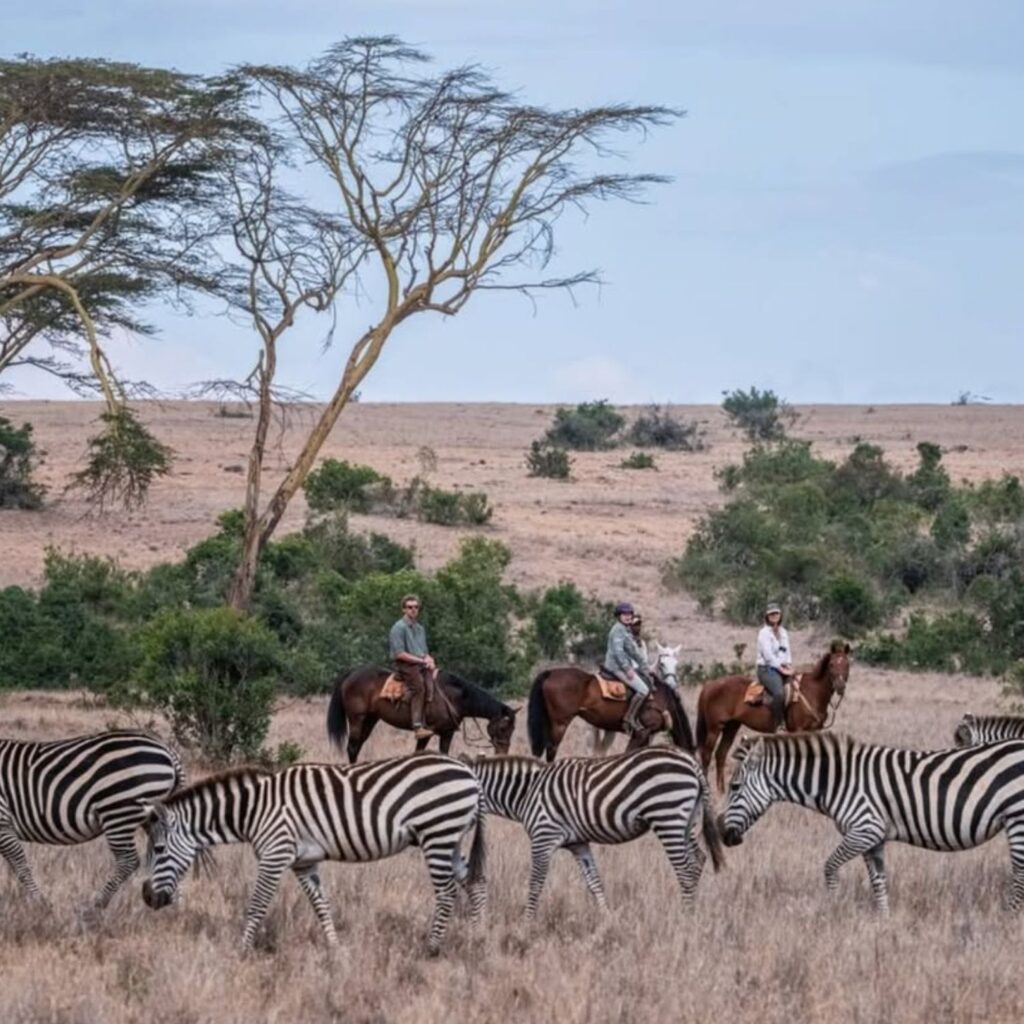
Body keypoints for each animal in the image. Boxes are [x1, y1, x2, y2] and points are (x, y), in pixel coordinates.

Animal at [326, 665, 519, 763]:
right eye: (503, 727)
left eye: (512, 730)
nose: (503, 753)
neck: (453, 696)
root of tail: (350, 673)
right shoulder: (427, 732)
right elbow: (418, 752)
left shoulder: (447, 733)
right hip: (357, 719)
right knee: (352, 747)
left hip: (370, 720)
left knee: (357, 746)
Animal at [527, 659, 695, 762]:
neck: (664, 700)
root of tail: (550, 673)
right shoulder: (642, 733)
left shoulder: (647, 735)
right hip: (560, 723)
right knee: (551, 749)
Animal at [696, 640, 851, 792]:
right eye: (831, 664)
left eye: (847, 664)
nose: (840, 686)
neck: (812, 692)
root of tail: (709, 685)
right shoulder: (798, 731)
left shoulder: (815, 730)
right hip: (714, 728)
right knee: (706, 755)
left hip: (731, 726)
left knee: (720, 754)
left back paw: (721, 791)